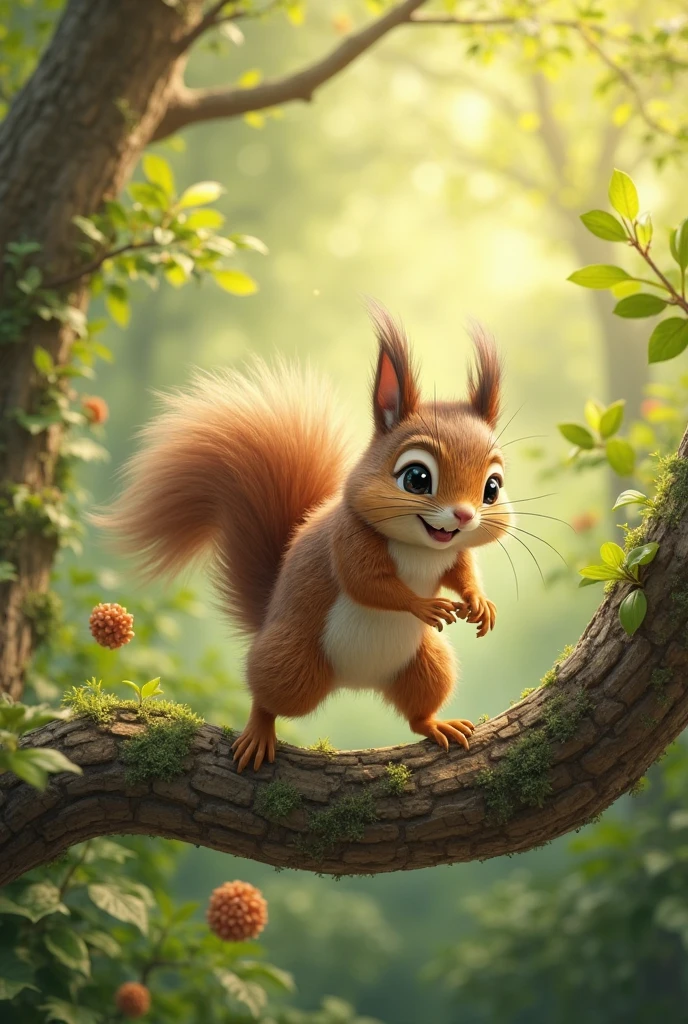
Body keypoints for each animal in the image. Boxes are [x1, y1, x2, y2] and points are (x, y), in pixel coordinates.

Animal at [98, 301, 514, 771]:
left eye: (493, 488)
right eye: (416, 478)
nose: (463, 516)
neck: (421, 548)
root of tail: (356, 681)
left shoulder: (452, 555)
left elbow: (462, 573)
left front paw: (480, 603)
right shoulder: (347, 541)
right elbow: (369, 584)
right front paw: (424, 604)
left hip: (427, 664)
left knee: (418, 710)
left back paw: (437, 724)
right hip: (292, 662)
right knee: (268, 696)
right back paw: (259, 732)